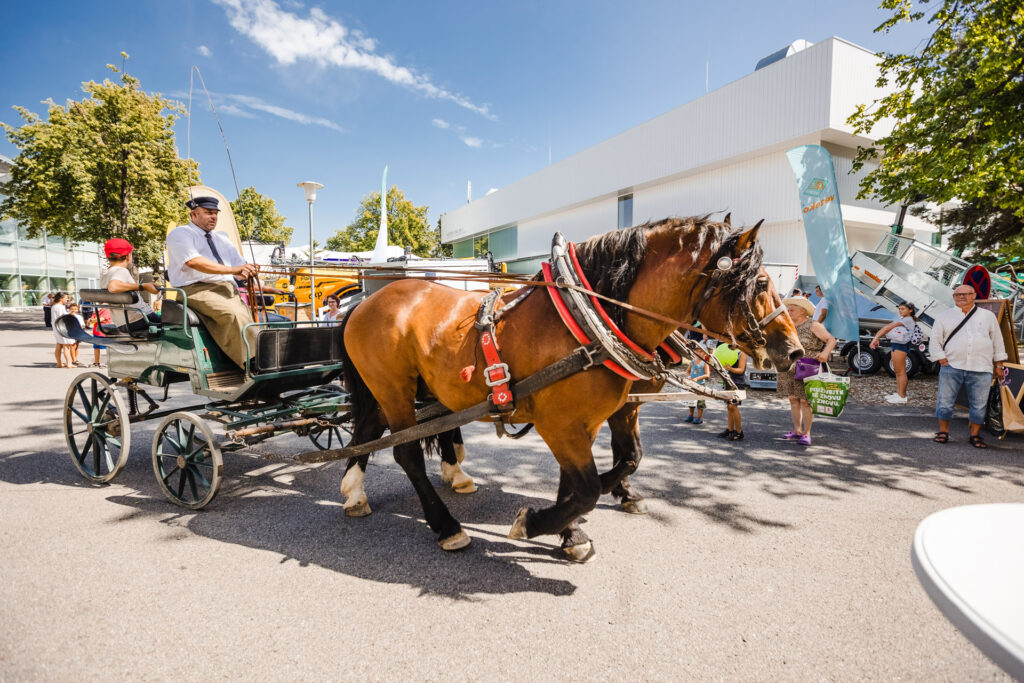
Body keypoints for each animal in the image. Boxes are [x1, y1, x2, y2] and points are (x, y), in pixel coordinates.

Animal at [335, 216, 798, 557]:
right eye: (760, 283)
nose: (792, 350)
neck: (592, 317)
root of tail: (367, 301)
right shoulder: (561, 422)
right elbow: (590, 485)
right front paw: (536, 522)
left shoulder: (598, 416)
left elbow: (616, 464)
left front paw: (572, 531)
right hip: (394, 389)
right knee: (407, 452)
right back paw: (446, 525)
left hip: (407, 389)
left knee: (371, 428)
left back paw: (357, 491)